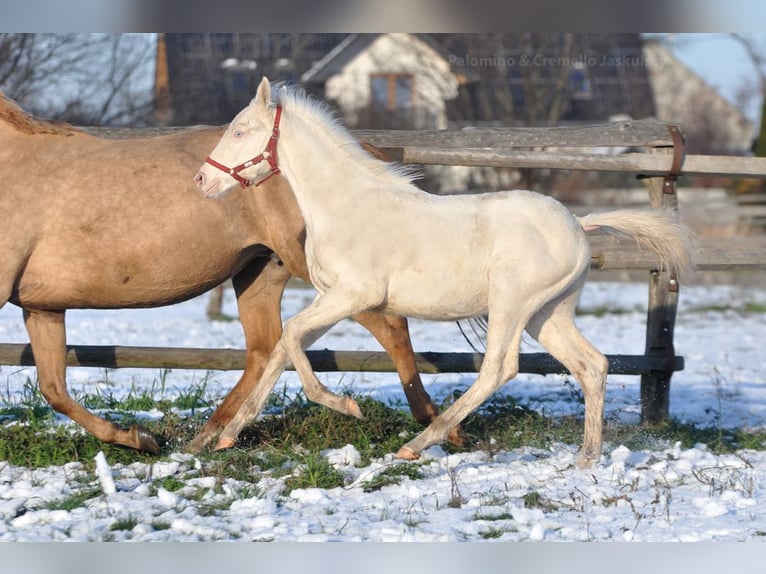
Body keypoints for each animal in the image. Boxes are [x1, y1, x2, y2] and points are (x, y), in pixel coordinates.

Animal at [0, 90, 457, 454]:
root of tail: (363, 156)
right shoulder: (42, 307)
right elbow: (54, 389)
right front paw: (139, 438)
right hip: (261, 271)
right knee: (266, 348)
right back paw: (210, 436)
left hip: (328, 276)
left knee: (390, 329)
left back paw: (436, 426)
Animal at [194, 78, 693, 468]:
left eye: (240, 130)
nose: (202, 181)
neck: (345, 205)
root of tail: (578, 223)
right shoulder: (330, 298)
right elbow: (285, 346)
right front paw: (227, 435)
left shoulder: (354, 296)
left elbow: (293, 336)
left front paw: (346, 407)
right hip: (548, 313)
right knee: (592, 365)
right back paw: (585, 458)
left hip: (511, 304)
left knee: (499, 368)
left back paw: (417, 445)